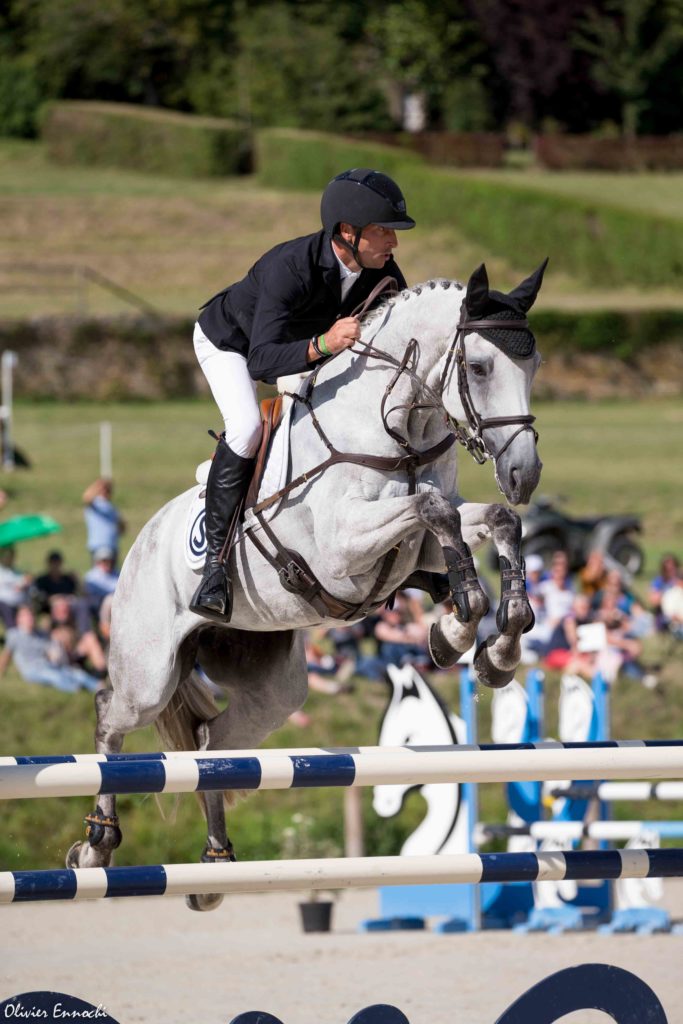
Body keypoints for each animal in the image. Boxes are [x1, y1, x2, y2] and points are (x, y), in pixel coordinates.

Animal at [68, 264, 544, 913]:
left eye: (533, 364)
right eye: (478, 367)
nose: (525, 475)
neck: (395, 428)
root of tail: (141, 541)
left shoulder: (411, 551)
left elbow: (492, 521)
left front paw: (491, 646)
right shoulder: (342, 551)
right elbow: (434, 510)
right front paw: (463, 618)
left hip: (272, 690)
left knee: (212, 748)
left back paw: (214, 867)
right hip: (149, 672)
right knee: (110, 714)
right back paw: (98, 845)